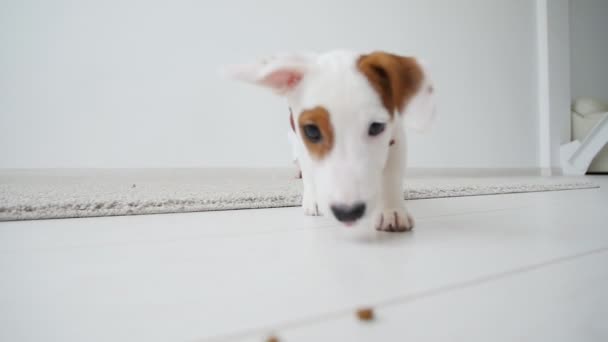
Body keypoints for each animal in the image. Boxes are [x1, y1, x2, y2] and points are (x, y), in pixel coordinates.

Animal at [226, 50, 434, 232]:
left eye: (376, 127)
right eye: (312, 131)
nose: (348, 213)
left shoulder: (396, 136)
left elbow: (391, 176)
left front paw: (392, 211)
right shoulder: (303, 143)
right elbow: (310, 174)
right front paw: (314, 199)